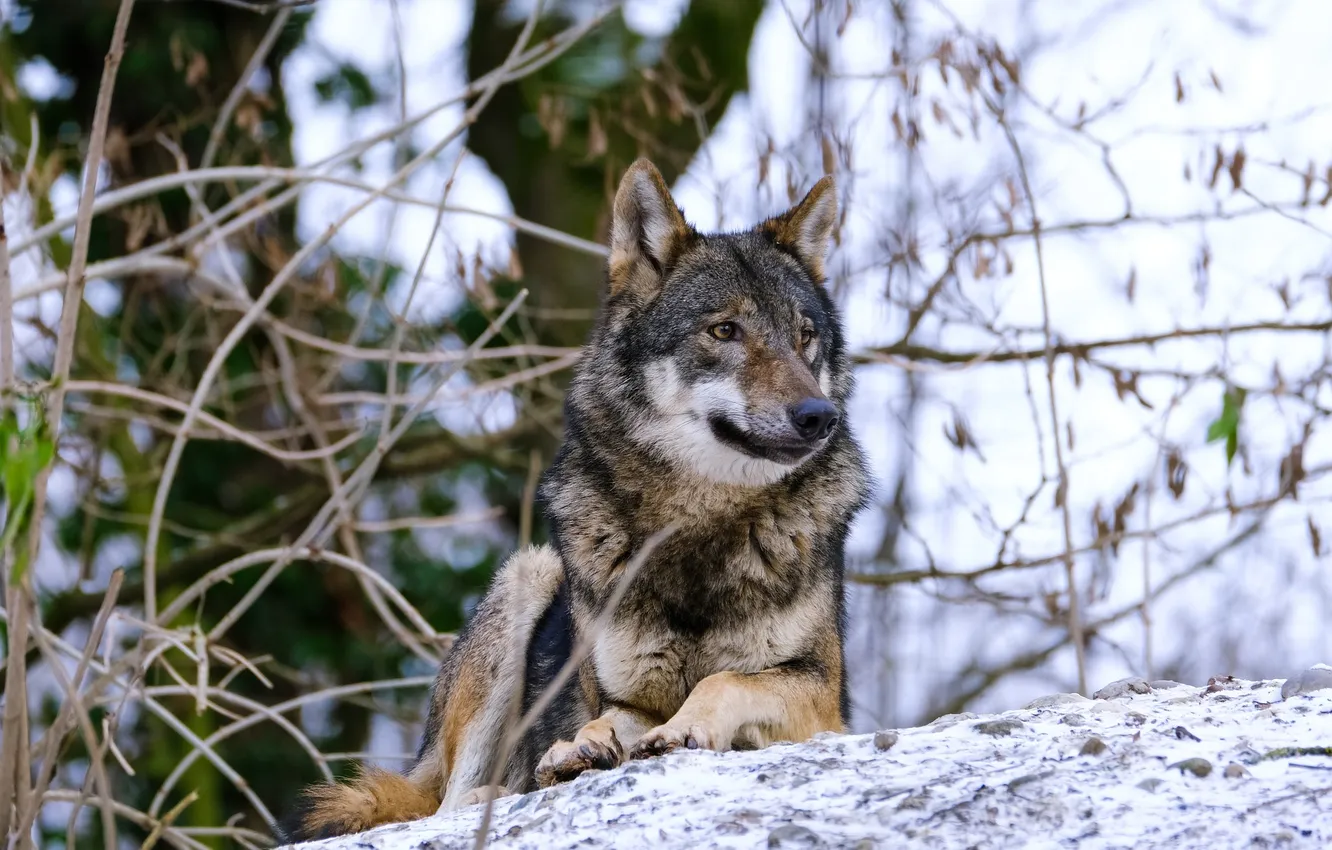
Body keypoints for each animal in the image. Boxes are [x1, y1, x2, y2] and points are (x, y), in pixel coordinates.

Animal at [280, 159, 869, 841]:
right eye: (725, 330)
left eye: (805, 337)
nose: (819, 416)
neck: (699, 526)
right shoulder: (622, 696)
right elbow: (605, 718)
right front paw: (580, 747)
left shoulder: (822, 698)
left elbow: (724, 682)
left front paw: (683, 727)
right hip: (528, 575)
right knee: (449, 803)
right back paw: (506, 785)